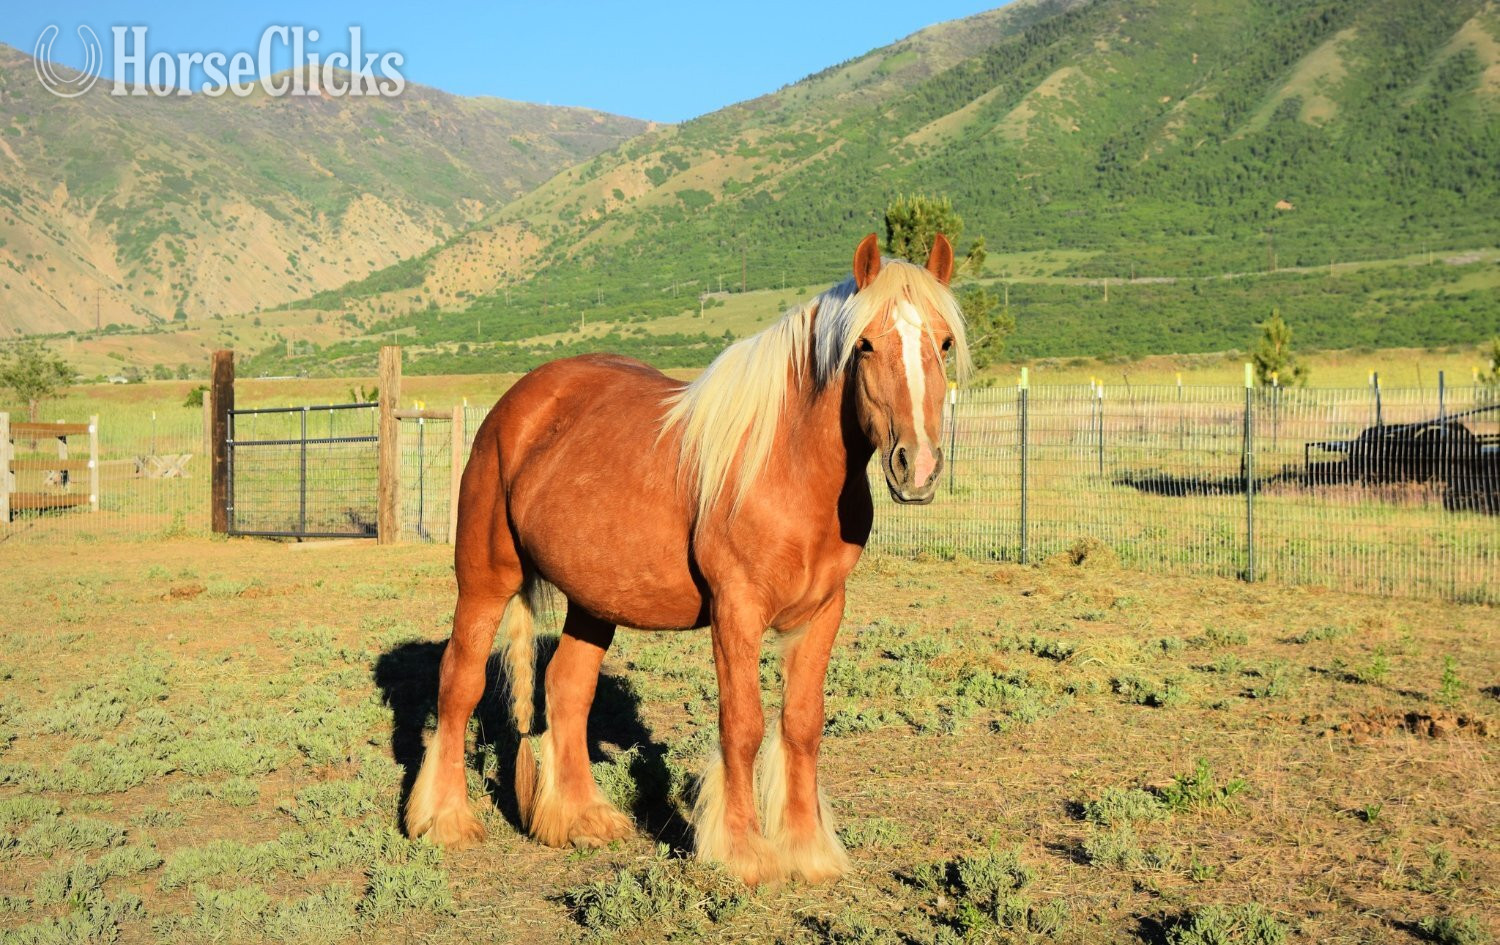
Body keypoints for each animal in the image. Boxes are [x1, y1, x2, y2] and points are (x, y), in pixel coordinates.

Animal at [404, 233, 970, 885]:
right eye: (865, 345)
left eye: (945, 343)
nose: (917, 467)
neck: (787, 465)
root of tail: (515, 405)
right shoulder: (736, 612)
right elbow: (743, 726)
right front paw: (746, 853)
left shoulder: (823, 613)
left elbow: (802, 725)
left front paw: (808, 851)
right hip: (485, 580)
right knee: (460, 682)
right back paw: (444, 821)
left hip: (595, 601)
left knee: (567, 688)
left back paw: (580, 820)